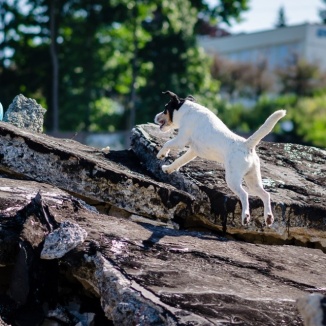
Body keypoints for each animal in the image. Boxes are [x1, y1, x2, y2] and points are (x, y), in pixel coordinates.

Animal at [153, 90, 286, 225]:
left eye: (165, 109)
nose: (155, 116)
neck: (187, 109)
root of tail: (246, 144)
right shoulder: (193, 151)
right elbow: (179, 161)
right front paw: (168, 169)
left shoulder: (181, 140)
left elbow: (167, 143)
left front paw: (161, 154)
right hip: (253, 180)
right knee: (266, 194)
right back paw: (268, 217)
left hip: (233, 179)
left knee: (245, 195)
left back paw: (246, 216)